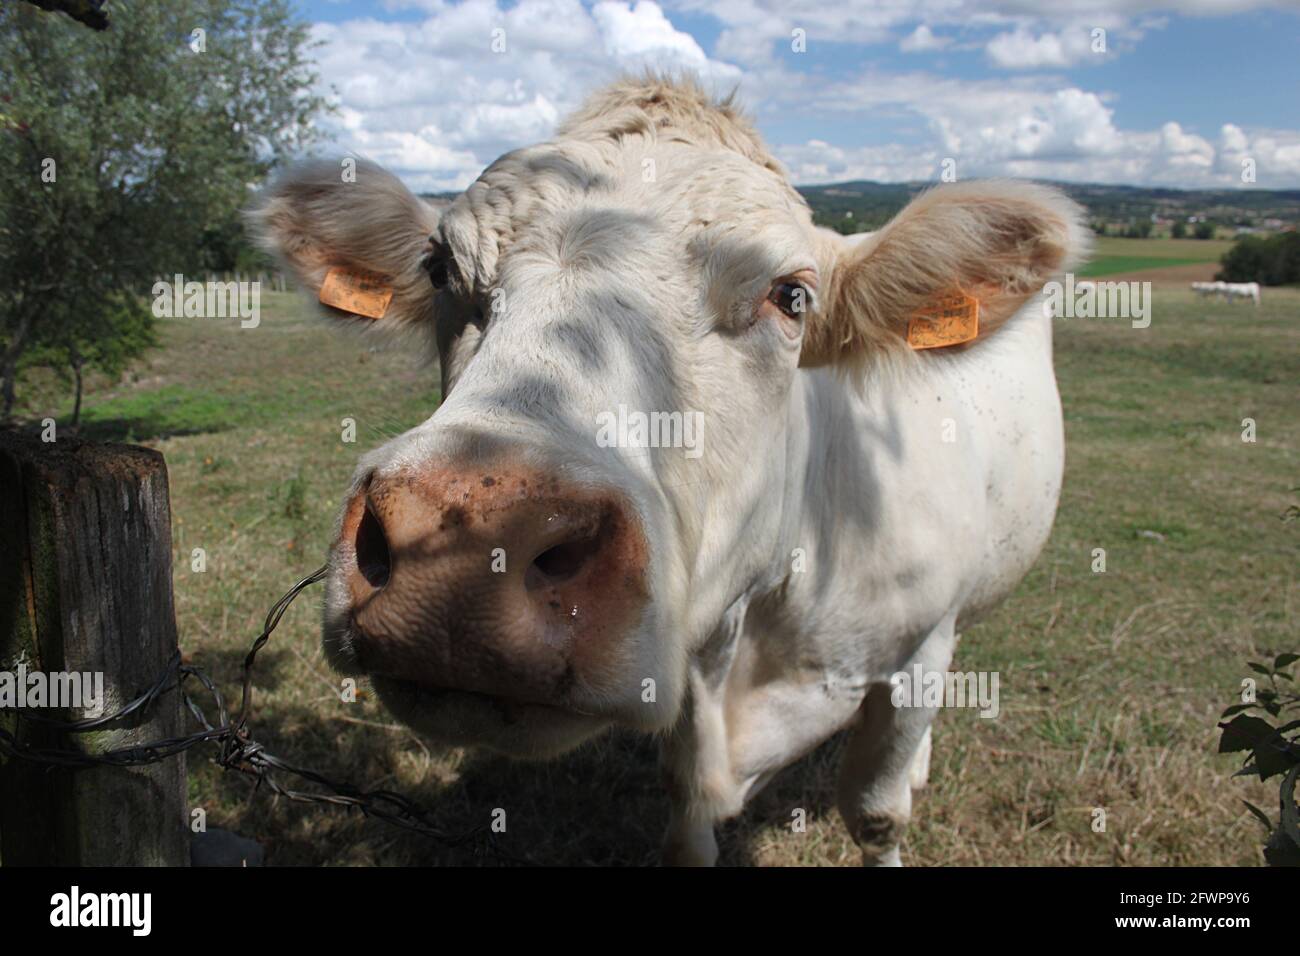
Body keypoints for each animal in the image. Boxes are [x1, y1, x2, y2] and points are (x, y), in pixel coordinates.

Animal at [250, 76, 1086, 868]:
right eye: (437, 269)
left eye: (791, 296)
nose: (458, 551)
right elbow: (688, 826)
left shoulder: (915, 651)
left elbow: (877, 812)